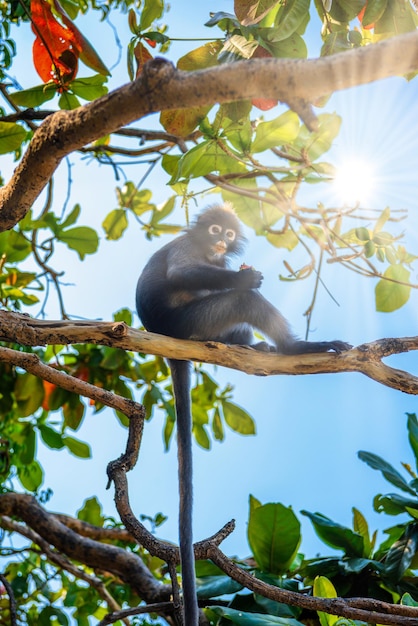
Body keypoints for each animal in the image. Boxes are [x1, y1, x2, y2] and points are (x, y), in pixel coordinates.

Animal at [136, 202, 352, 620]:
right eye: (215, 230)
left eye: (229, 234)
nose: (222, 240)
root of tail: (166, 338)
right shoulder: (189, 248)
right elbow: (183, 273)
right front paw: (245, 277)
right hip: (192, 322)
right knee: (243, 303)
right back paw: (292, 347)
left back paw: (254, 346)